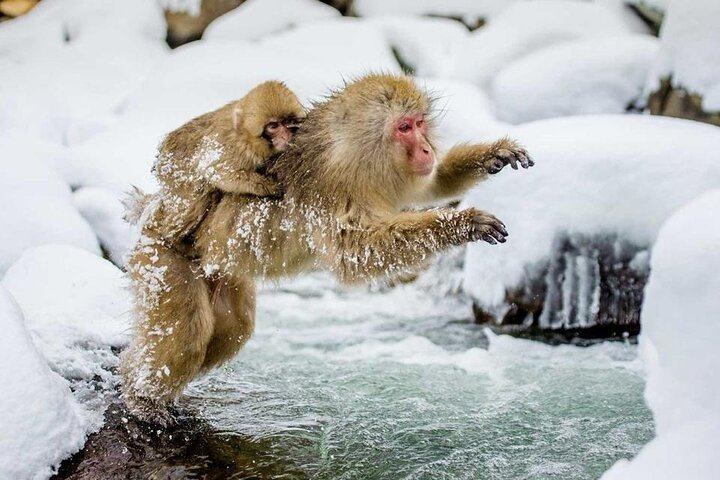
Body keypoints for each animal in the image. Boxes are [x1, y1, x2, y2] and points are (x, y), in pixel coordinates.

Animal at [119, 72, 536, 424]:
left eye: (419, 123)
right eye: (403, 128)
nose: (426, 149)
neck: (355, 153)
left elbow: (430, 186)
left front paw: (493, 155)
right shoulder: (337, 187)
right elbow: (357, 253)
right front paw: (463, 224)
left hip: (217, 273)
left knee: (230, 332)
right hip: (160, 261)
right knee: (189, 330)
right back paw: (141, 398)